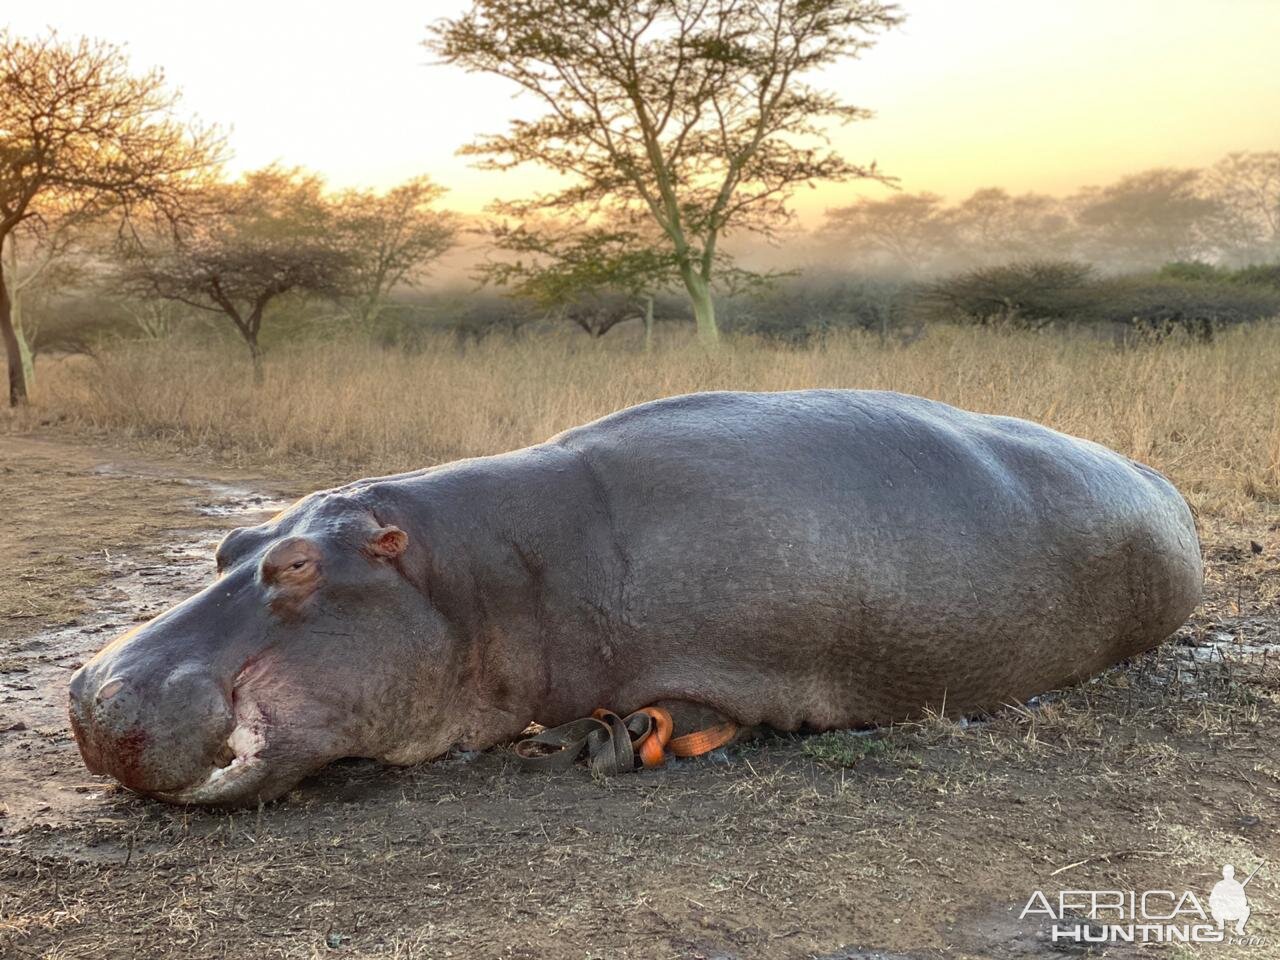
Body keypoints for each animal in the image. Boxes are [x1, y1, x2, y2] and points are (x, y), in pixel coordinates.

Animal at [70, 391, 1203, 803]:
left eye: (299, 567)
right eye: (230, 542)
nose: (90, 694)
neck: (474, 575)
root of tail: (1167, 486)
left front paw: (609, 738)